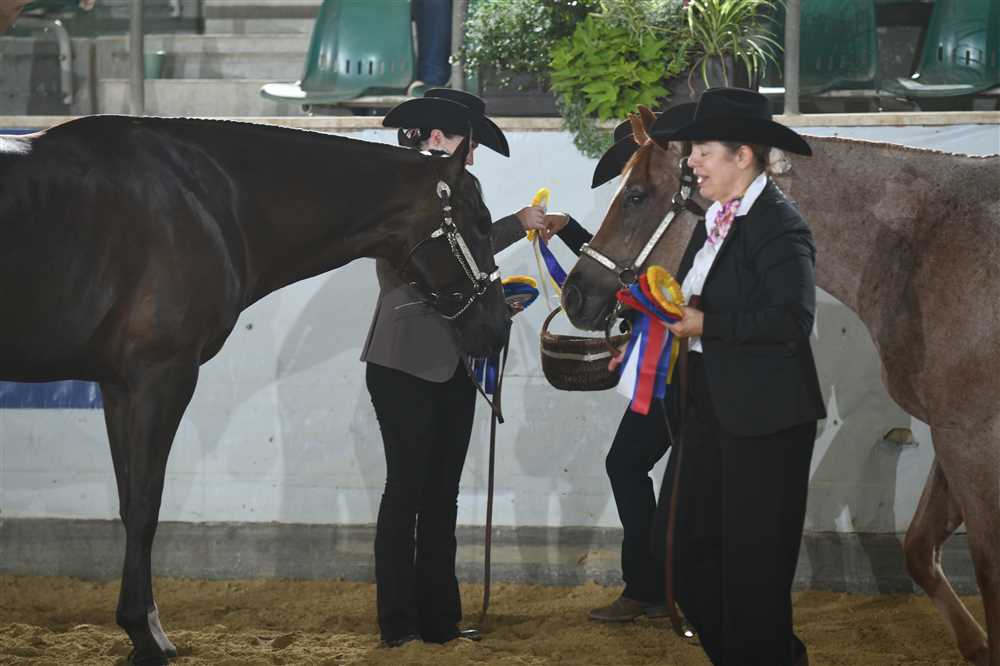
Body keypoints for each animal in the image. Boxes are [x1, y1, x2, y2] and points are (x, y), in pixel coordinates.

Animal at [0, 115, 509, 665]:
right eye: (481, 221)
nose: (499, 325)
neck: (203, 200)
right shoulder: (162, 376)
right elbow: (145, 508)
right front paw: (146, 634)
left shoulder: (118, 386)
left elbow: (129, 500)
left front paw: (145, 630)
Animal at [561, 107, 1000, 666]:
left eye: (636, 194)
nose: (576, 294)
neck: (928, 244)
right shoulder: (953, 431)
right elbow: (921, 548)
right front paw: (978, 646)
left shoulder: (972, 434)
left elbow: (987, 564)